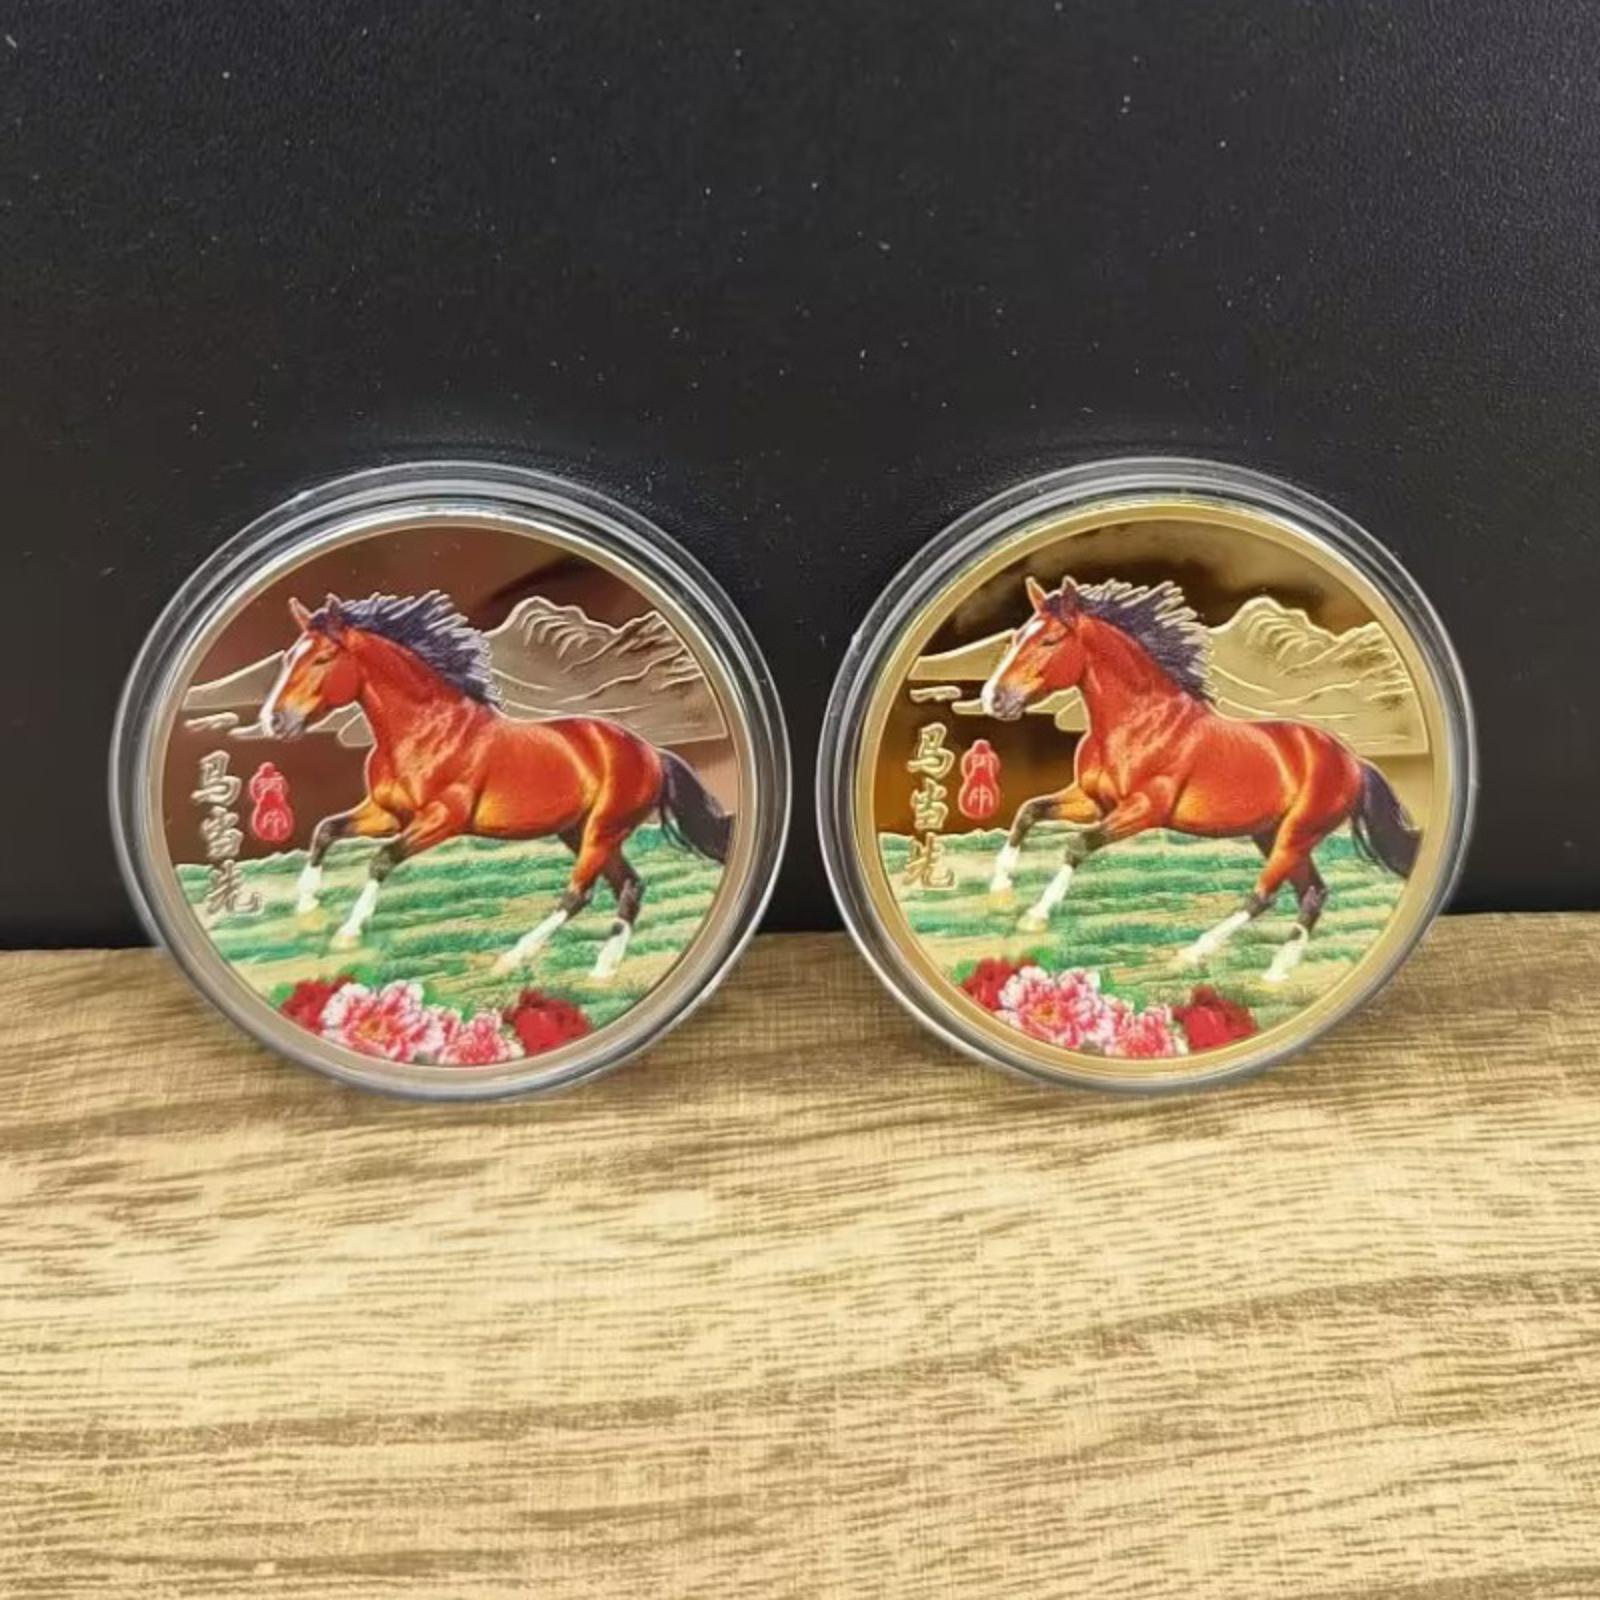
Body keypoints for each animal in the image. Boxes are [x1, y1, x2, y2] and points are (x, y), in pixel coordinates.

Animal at [252, 591, 731, 980]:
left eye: (321, 659)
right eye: (289, 657)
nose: (274, 720)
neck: (425, 731)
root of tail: (652, 752)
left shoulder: (443, 819)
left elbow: (382, 860)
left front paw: (347, 932)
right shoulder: (386, 813)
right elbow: (325, 831)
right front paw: (306, 908)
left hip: (602, 831)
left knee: (578, 894)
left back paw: (512, 958)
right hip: (580, 831)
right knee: (630, 889)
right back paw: (602, 970)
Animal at [978, 575, 1419, 983]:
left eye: (1050, 640)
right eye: (1016, 636)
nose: (993, 698)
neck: (1137, 723)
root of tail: (1353, 761)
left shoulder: (1144, 810)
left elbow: (1077, 845)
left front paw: (1035, 916)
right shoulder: (1092, 801)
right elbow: (1028, 812)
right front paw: (999, 892)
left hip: (1296, 834)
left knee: (1264, 897)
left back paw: (1193, 954)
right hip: (1272, 834)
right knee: (1313, 893)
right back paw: (1276, 974)